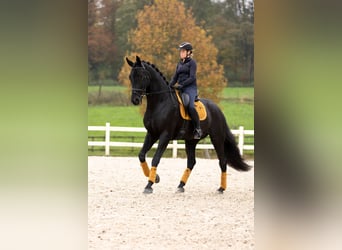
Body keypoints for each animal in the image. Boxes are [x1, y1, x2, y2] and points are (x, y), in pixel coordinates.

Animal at [125, 56, 251, 193]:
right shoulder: (152, 134)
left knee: (222, 161)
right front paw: (155, 178)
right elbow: (141, 155)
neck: (160, 103)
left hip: (217, 138)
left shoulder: (165, 135)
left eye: (142, 76)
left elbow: (156, 158)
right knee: (191, 162)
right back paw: (180, 185)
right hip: (191, 141)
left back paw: (221, 188)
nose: (135, 100)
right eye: (130, 77)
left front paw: (149, 185)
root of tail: (217, 109)